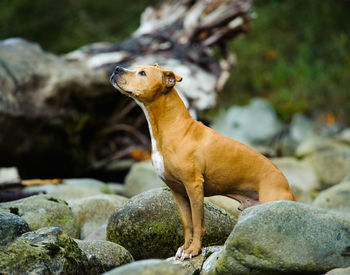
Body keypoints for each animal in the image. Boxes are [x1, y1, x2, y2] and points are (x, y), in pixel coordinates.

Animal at [110, 63, 296, 262]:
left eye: (142, 73)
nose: (117, 68)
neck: (171, 128)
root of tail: (288, 188)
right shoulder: (177, 190)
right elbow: (187, 223)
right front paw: (185, 248)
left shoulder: (194, 186)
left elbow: (198, 222)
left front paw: (193, 250)